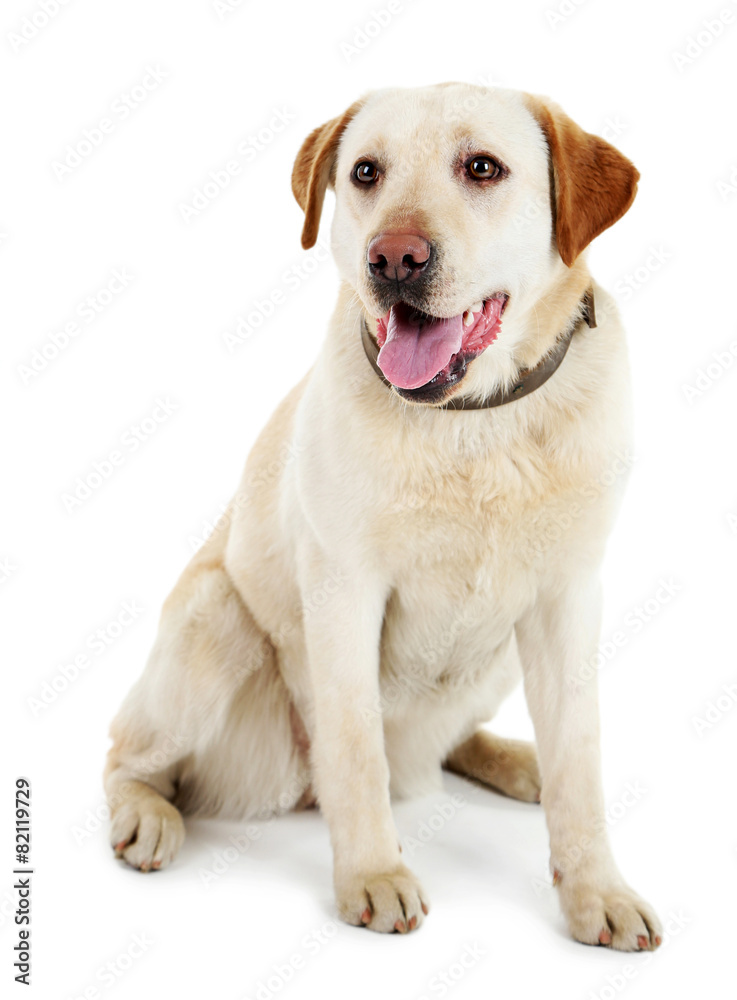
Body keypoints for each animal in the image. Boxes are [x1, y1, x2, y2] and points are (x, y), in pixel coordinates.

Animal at [103, 86, 660, 952]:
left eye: (482, 168)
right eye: (365, 172)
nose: (393, 258)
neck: (474, 424)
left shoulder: (569, 599)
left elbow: (580, 762)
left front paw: (595, 888)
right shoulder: (343, 596)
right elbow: (355, 747)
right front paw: (371, 874)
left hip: (497, 656)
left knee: (455, 742)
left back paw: (512, 759)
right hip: (212, 619)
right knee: (125, 754)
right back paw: (146, 814)